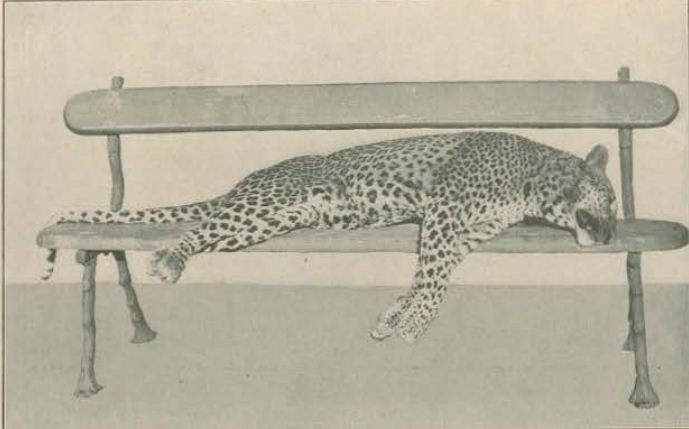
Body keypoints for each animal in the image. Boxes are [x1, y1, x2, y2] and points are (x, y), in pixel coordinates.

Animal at [42, 131, 618, 343]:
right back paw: (170, 260)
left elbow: (429, 279)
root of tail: (244, 181)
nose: (614, 233)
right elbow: (433, 282)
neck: (537, 187)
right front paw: (412, 326)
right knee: (195, 229)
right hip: (267, 205)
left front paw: (395, 318)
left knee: (209, 228)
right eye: (611, 201)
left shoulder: (464, 233)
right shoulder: (446, 213)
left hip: (274, 220)